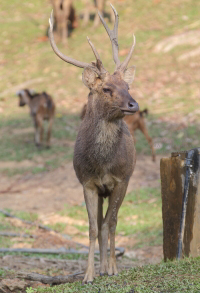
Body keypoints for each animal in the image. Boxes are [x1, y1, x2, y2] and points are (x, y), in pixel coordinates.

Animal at [48, 3, 139, 282]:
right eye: (107, 88)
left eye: (127, 86)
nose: (134, 104)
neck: (102, 164)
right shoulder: (87, 182)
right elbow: (91, 227)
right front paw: (88, 274)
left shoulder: (121, 179)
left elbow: (111, 223)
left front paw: (113, 268)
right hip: (100, 191)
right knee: (99, 223)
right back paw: (99, 267)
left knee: (110, 222)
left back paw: (107, 266)